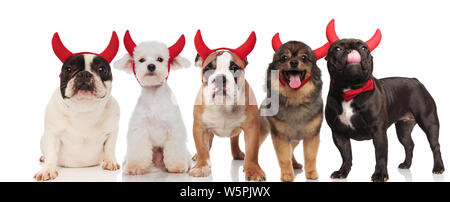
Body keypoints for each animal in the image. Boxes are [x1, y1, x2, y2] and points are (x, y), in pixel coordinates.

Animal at [115, 30, 191, 174]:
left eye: (160, 59)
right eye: (141, 60)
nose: (151, 66)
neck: (155, 96)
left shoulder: (174, 128)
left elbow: (175, 149)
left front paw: (177, 166)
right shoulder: (139, 129)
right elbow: (138, 149)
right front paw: (135, 166)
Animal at [189, 30, 266, 181]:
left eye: (234, 68)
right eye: (208, 69)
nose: (220, 78)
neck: (223, 105)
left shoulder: (252, 128)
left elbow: (252, 150)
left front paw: (253, 170)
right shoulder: (200, 127)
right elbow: (202, 147)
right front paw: (201, 165)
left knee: (234, 139)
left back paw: (238, 153)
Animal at [260, 33, 326, 181]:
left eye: (304, 57)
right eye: (284, 57)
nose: (294, 62)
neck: (295, 100)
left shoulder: (312, 135)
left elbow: (310, 156)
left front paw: (311, 173)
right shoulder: (280, 136)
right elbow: (284, 157)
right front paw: (287, 174)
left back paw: (295, 164)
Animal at [324, 20, 442, 181]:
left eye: (364, 48)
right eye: (337, 48)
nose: (352, 50)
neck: (350, 90)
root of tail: (416, 81)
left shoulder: (378, 130)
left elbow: (380, 154)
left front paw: (380, 174)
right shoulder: (338, 132)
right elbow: (346, 155)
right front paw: (343, 172)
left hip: (429, 122)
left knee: (435, 145)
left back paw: (438, 168)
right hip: (403, 128)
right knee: (409, 144)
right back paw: (406, 164)